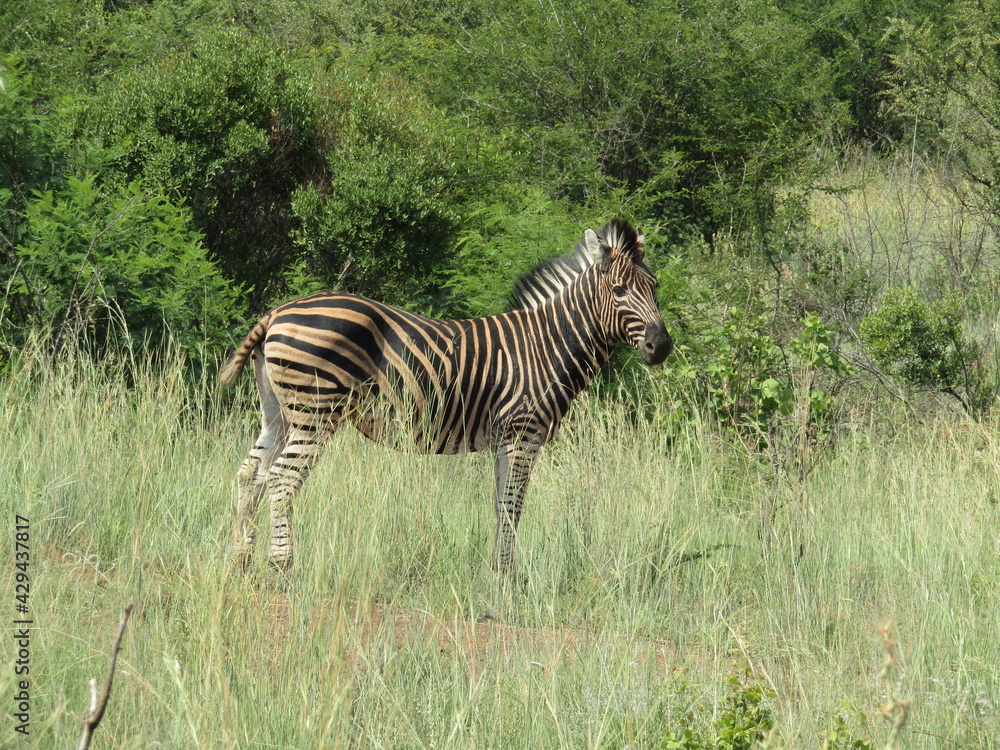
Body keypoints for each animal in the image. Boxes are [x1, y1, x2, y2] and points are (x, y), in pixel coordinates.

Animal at [221, 219, 672, 573]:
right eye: (619, 290)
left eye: (655, 286)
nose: (662, 347)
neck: (546, 345)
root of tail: (276, 313)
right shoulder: (524, 432)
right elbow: (513, 505)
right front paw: (507, 578)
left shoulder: (505, 438)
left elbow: (500, 504)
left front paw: (497, 570)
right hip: (315, 411)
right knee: (283, 478)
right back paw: (282, 565)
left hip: (279, 411)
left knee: (251, 473)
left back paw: (242, 560)